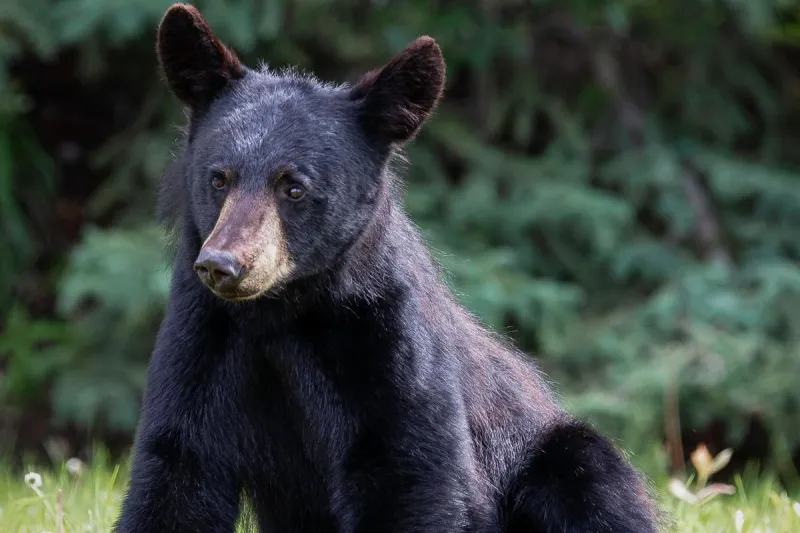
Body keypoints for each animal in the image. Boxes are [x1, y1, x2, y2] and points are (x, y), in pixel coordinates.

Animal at [114, 4, 661, 533]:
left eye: (294, 187)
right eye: (219, 179)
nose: (222, 265)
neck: (281, 313)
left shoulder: (386, 338)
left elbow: (414, 475)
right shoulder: (203, 337)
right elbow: (176, 473)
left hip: (559, 451)